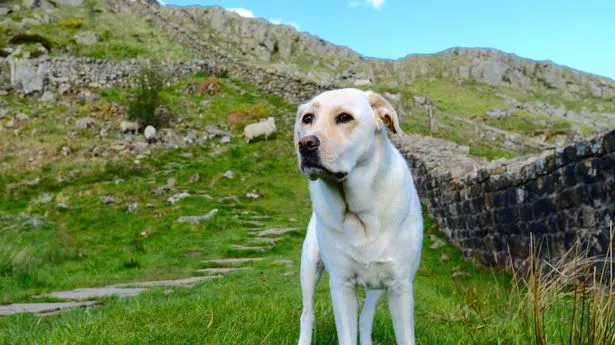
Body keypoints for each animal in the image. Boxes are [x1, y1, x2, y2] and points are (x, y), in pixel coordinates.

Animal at [298, 88, 424, 344]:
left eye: (344, 117)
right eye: (307, 118)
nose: (305, 144)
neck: (359, 212)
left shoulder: (400, 286)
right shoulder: (341, 285)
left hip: (378, 287)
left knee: (365, 318)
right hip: (309, 266)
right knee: (307, 314)